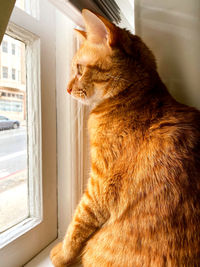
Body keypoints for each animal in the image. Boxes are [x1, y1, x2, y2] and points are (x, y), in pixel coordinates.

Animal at [50, 8, 200, 267]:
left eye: (79, 68)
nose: (67, 89)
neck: (133, 98)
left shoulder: (98, 185)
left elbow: (78, 222)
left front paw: (61, 254)